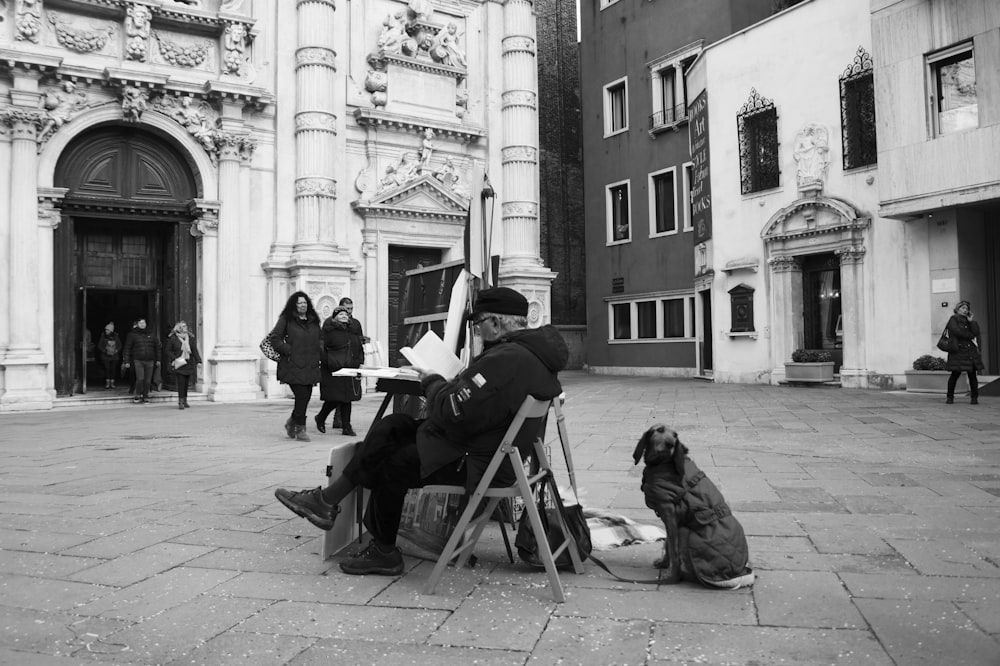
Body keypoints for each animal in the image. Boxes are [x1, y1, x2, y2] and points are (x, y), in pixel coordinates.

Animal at [632, 422, 752, 584]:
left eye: (676, 435)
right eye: (660, 430)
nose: (670, 444)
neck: (662, 463)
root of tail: (739, 573)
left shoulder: (669, 513)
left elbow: (673, 549)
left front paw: (672, 577)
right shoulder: (671, 518)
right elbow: (668, 543)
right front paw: (664, 564)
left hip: (685, 531)